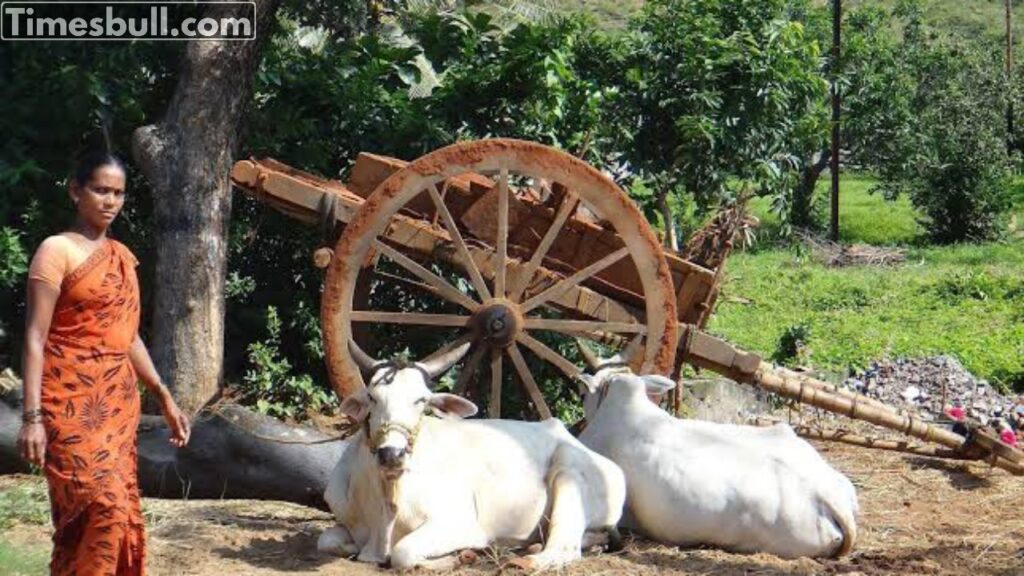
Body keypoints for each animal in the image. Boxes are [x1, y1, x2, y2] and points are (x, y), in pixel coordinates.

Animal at [317, 341, 626, 570]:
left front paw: (457, 557)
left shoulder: (461, 524)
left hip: (568, 471)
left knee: (564, 548)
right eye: (372, 397)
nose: (392, 454)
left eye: (422, 400)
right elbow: (327, 540)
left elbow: (403, 553)